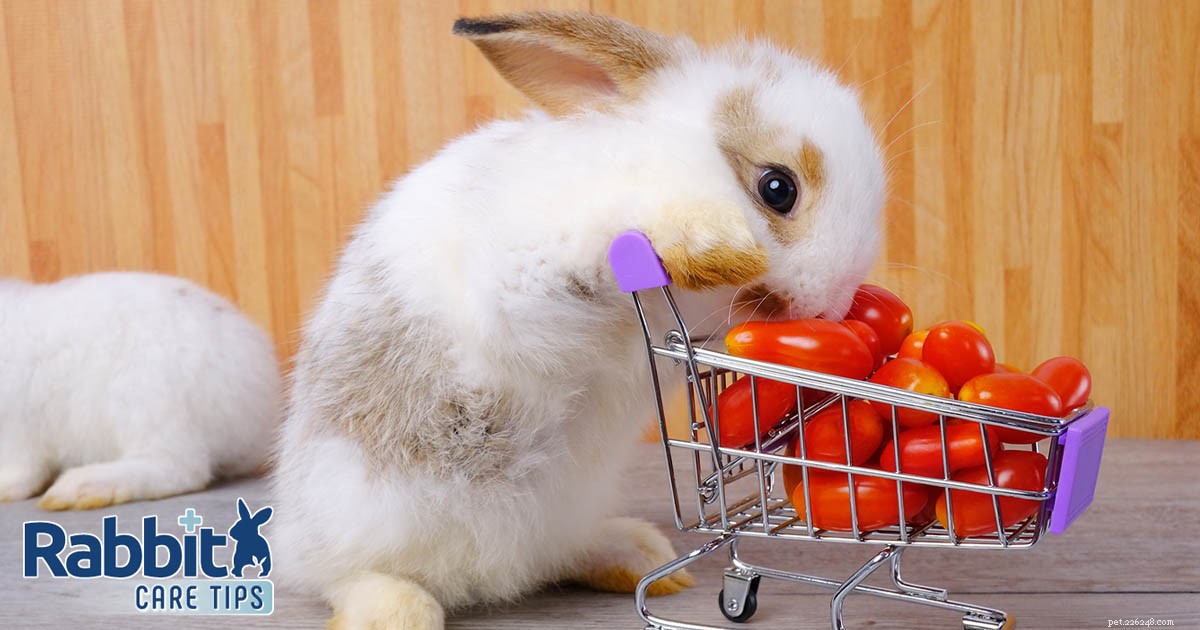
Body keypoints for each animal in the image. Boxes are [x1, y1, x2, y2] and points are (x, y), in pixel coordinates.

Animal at [271, 11, 885, 630]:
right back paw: (395, 612)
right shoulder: (523, 276)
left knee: (558, 555)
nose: (832, 304)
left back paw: (641, 560)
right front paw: (710, 244)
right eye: (776, 187)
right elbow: (605, 228)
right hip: (360, 517)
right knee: (346, 575)